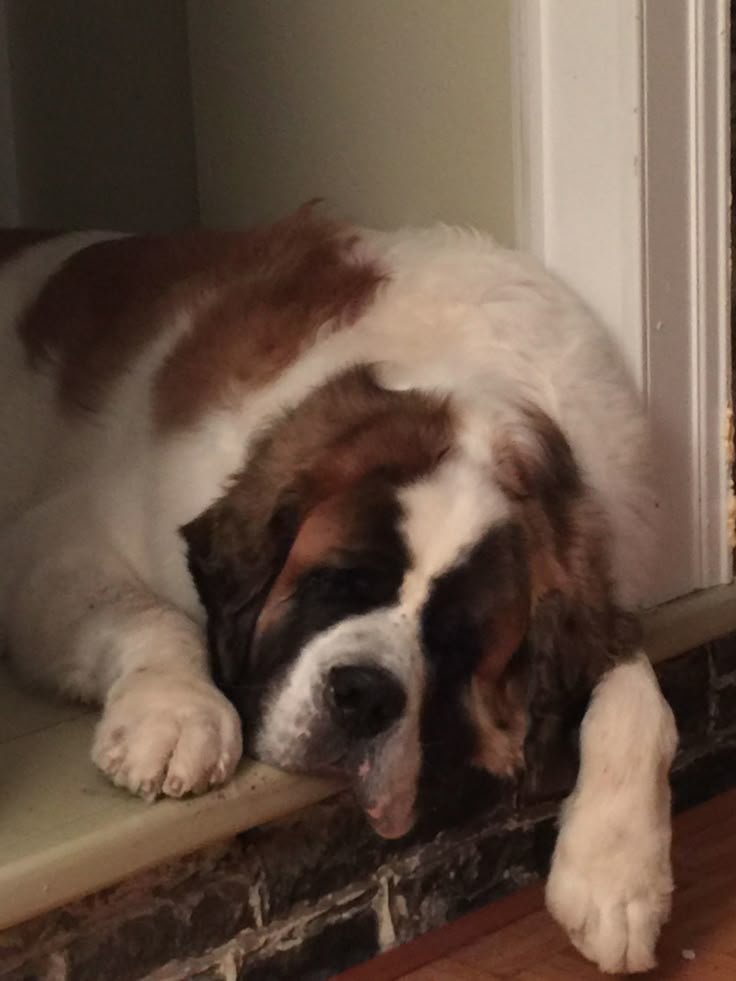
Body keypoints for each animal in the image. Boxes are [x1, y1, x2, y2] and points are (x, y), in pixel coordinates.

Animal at [0, 209, 676, 972]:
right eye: (333, 582)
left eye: (456, 638)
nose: (365, 696)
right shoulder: (56, 542)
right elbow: (155, 616)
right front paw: (174, 714)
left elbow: (637, 688)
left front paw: (618, 875)